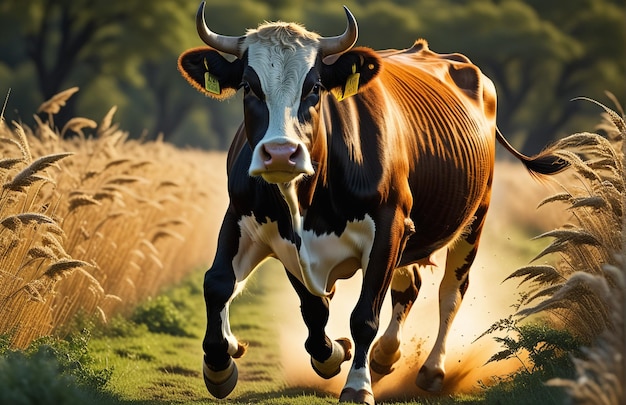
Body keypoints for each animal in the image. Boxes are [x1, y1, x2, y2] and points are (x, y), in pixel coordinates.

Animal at [177, 2, 564, 400]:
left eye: (314, 87)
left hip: (475, 217)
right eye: (248, 87)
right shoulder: (251, 221)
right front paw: (225, 364)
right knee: (409, 287)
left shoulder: (389, 226)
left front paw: (356, 384)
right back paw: (384, 356)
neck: (308, 203)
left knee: (451, 291)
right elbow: (231, 286)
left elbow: (363, 315)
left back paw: (431, 370)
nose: (281, 154)